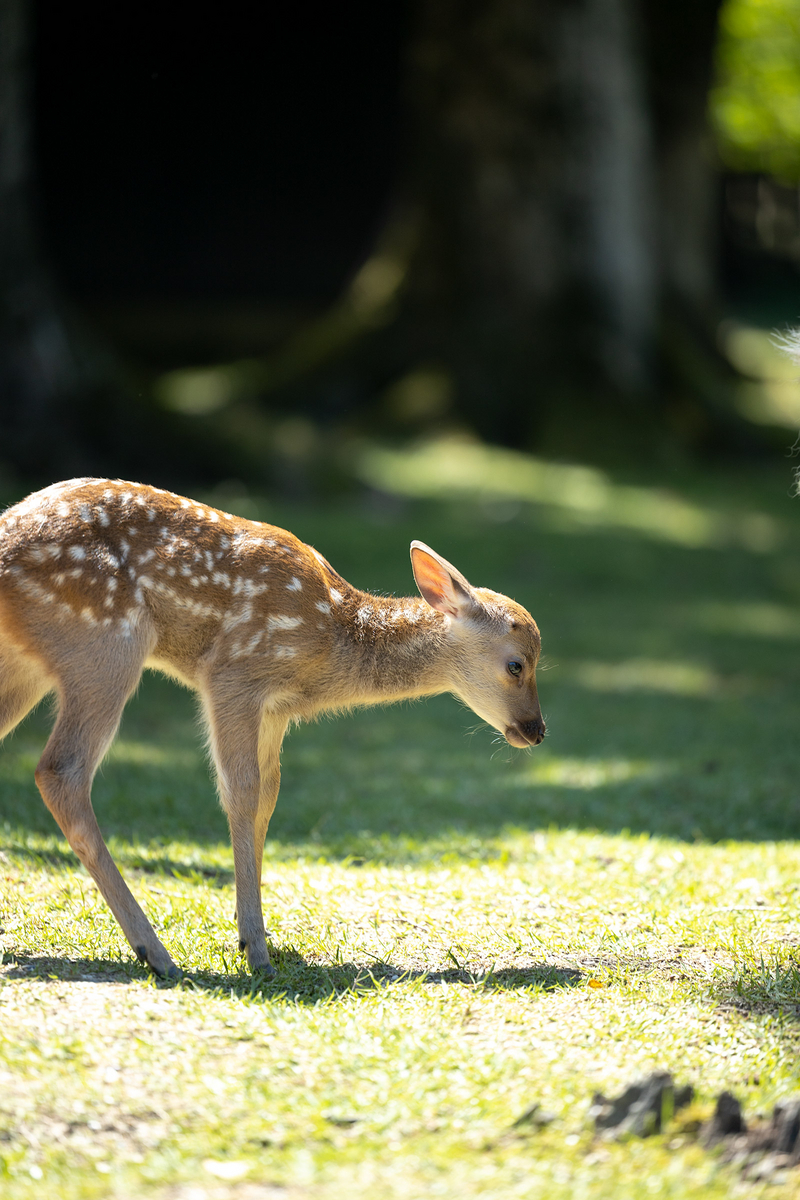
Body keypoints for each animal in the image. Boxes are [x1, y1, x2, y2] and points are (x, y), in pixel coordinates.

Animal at [0, 477, 544, 974]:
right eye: (517, 664)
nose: (537, 730)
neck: (334, 637)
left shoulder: (276, 710)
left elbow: (267, 798)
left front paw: (255, 938)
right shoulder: (233, 674)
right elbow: (239, 792)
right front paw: (256, 953)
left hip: (30, 666)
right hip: (106, 643)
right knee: (61, 771)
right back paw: (156, 954)